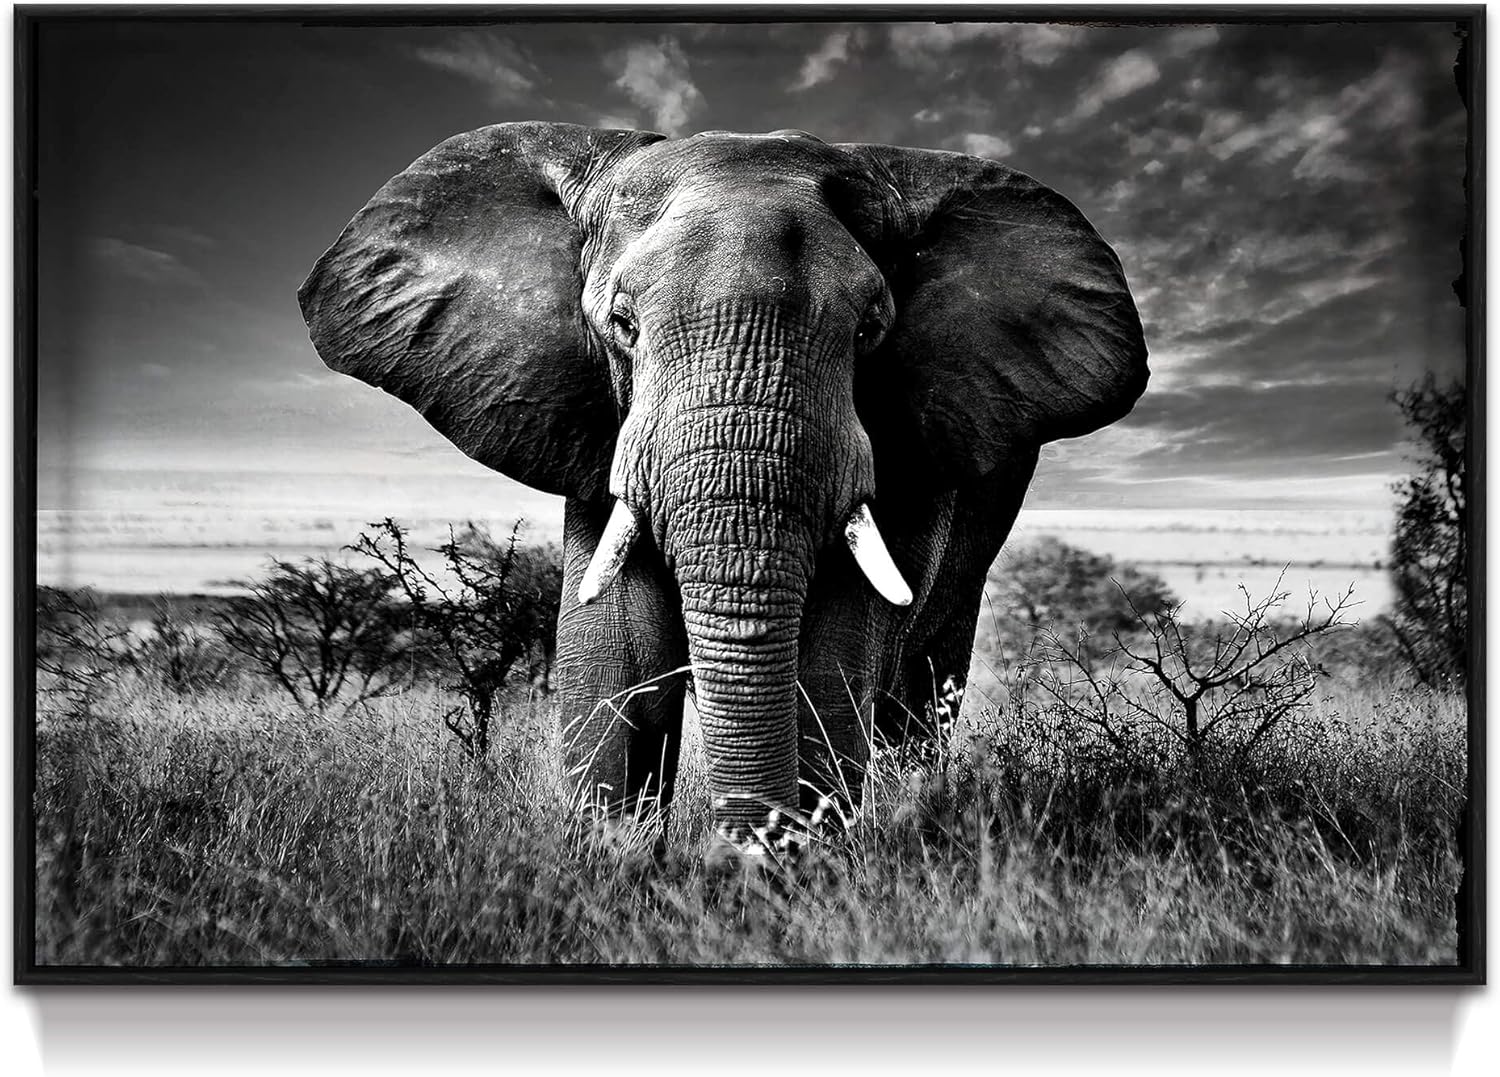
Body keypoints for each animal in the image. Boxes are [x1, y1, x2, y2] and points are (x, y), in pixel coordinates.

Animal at [299, 122, 1148, 845]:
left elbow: (834, 649)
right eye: (623, 326)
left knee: (922, 684)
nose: (736, 853)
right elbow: (616, 645)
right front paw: (616, 864)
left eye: (870, 331)